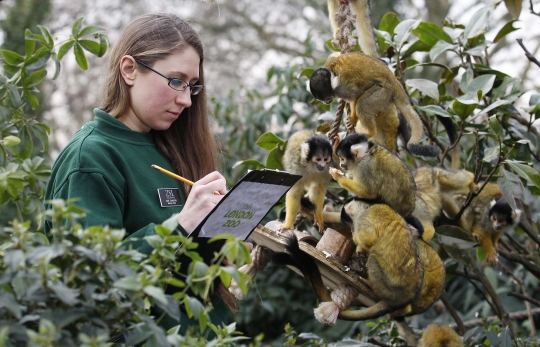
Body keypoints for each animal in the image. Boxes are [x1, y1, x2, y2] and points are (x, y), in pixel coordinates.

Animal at [308, 53, 438, 158]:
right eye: (323, 100)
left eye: (327, 98)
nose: (326, 102)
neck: (332, 76)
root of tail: (395, 83)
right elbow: (334, 56)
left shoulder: (342, 87)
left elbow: (355, 95)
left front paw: (353, 118)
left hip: (383, 93)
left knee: (363, 105)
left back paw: (370, 132)